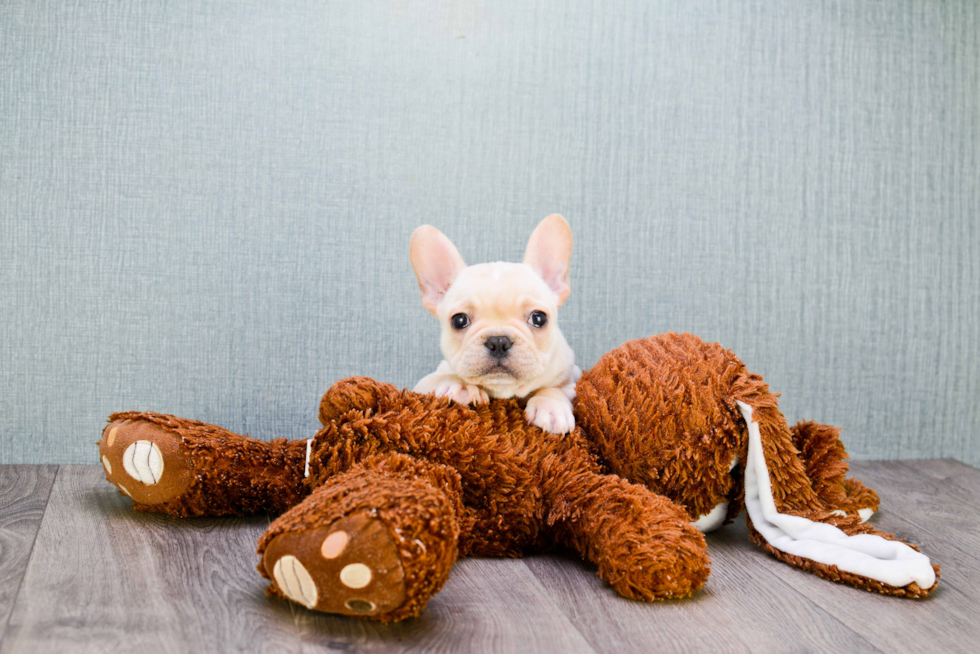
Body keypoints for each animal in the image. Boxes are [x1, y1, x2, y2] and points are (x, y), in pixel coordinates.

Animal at [408, 215, 580, 436]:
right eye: (459, 320)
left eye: (539, 318)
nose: (498, 341)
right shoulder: (421, 385)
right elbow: (441, 378)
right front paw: (461, 386)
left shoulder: (571, 377)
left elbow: (554, 388)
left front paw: (551, 407)